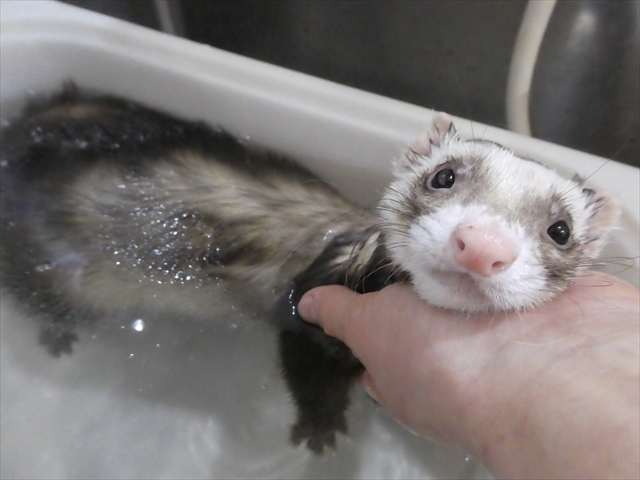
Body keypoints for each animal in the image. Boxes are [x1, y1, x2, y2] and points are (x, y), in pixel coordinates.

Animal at [0, 85, 620, 454]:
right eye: (443, 175)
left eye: (560, 229)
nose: (481, 243)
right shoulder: (305, 313)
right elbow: (302, 367)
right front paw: (320, 427)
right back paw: (57, 332)